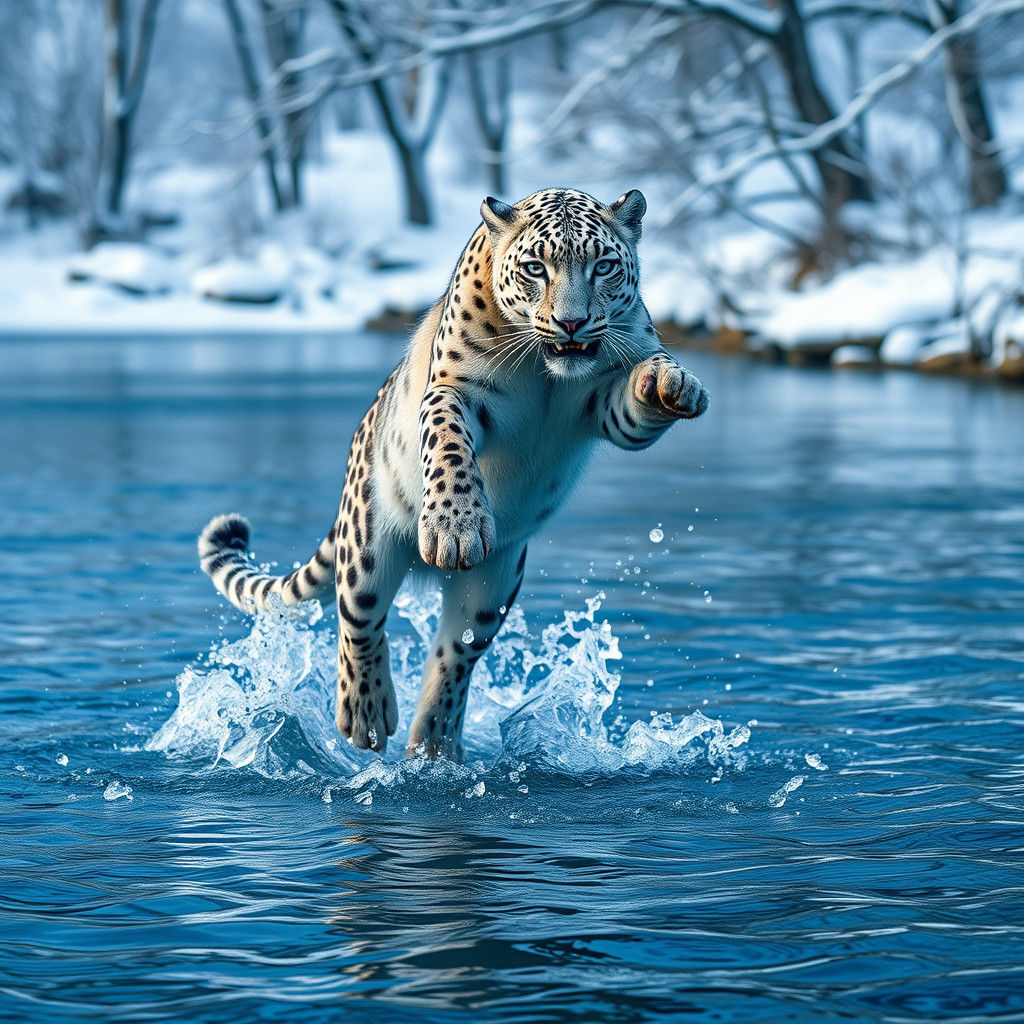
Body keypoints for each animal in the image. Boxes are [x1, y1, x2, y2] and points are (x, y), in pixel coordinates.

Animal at [198, 187, 709, 761]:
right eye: (535, 268)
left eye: (603, 266)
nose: (571, 322)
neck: (546, 378)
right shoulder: (453, 389)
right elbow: (448, 449)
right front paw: (455, 527)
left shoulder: (607, 405)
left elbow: (642, 392)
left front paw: (671, 383)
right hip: (366, 543)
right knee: (358, 618)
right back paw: (367, 715)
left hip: (494, 586)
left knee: (456, 653)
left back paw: (436, 741)